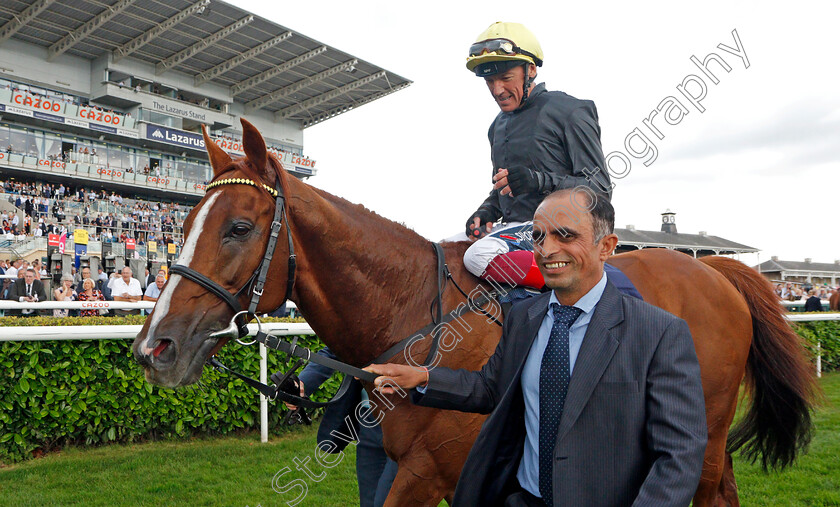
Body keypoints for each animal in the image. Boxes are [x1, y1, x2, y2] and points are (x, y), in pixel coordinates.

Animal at [135, 120, 816, 507]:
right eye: (182, 226)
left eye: (239, 228)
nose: (153, 348)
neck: (412, 314)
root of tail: (717, 270)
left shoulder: (431, 474)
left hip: (701, 436)